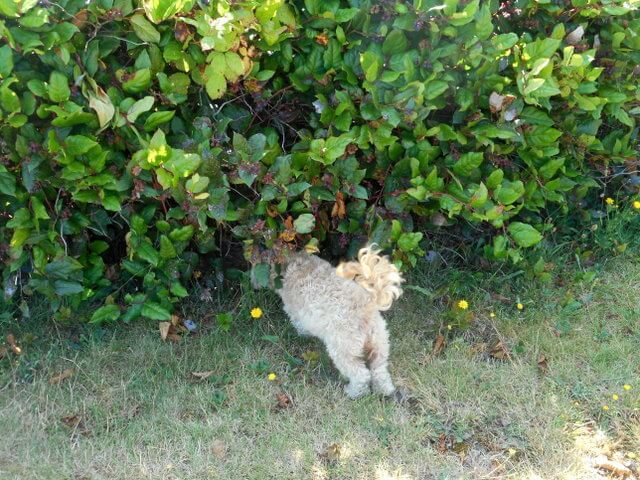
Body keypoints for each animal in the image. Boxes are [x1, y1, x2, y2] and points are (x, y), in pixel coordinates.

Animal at [276, 246, 404, 400]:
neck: (300, 265)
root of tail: (366, 308)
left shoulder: (295, 311)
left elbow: (298, 324)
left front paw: (301, 334)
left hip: (344, 350)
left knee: (361, 375)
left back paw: (354, 393)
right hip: (379, 346)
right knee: (379, 371)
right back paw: (384, 390)